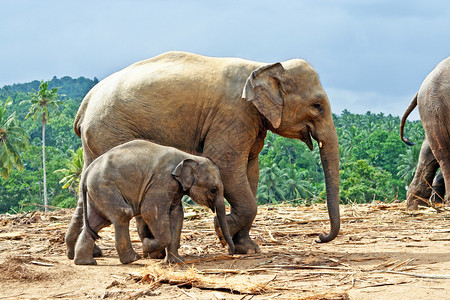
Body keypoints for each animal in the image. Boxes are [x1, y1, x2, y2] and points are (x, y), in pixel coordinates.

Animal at [73, 139, 236, 264]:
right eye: (214, 189)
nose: (231, 252)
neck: (188, 156)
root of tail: (86, 171)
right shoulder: (162, 181)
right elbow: (150, 211)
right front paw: (146, 246)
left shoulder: (175, 189)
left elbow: (177, 216)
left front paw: (176, 261)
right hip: (105, 187)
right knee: (122, 214)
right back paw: (133, 259)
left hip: (98, 192)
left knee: (97, 221)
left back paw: (86, 262)